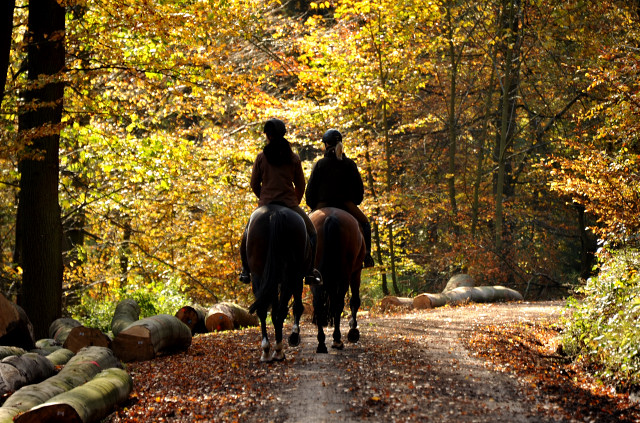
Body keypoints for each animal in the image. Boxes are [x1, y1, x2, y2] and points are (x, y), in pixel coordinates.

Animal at [246, 205, 308, 362]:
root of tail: (275, 213)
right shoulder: (296, 278)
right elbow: (296, 307)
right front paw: (294, 336)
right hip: (289, 276)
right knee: (279, 310)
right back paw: (277, 350)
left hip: (259, 276)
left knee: (263, 310)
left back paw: (268, 350)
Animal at [310, 207, 364, 352]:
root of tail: (331, 218)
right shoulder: (356, 272)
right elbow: (354, 301)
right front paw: (353, 329)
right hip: (345, 274)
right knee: (339, 304)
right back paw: (337, 339)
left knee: (318, 303)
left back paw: (321, 343)